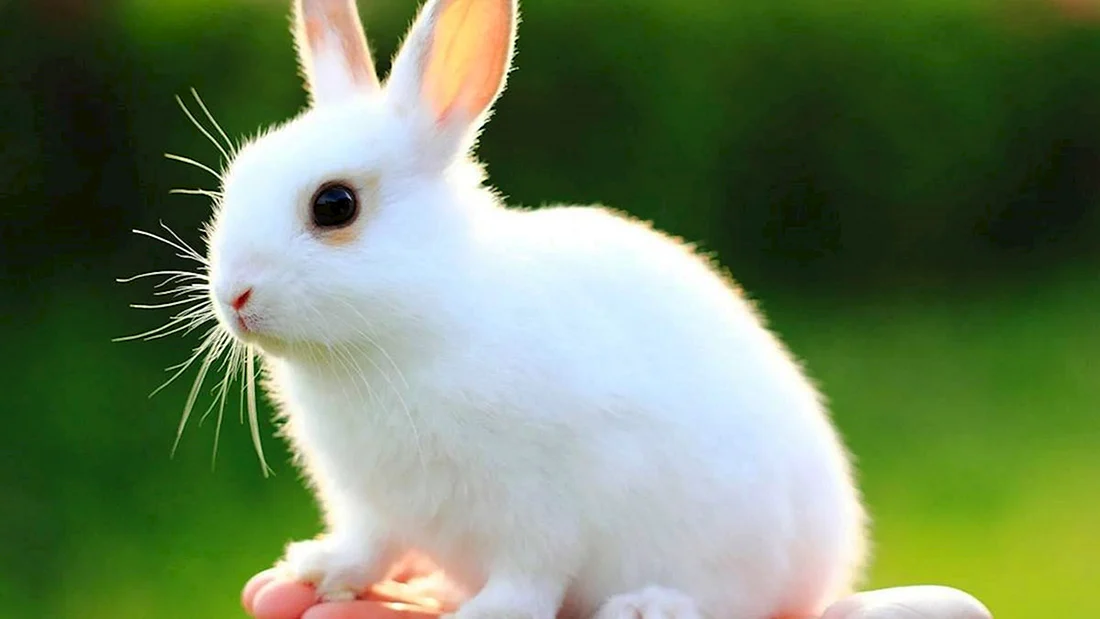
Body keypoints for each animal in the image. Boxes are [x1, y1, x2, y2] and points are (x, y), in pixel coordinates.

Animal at [199, 0, 870, 618]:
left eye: (334, 205)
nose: (234, 297)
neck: (418, 322)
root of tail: (830, 559)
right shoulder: (373, 506)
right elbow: (373, 547)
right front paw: (319, 568)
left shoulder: (542, 510)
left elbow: (531, 575)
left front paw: (488, 612)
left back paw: (648, 605)